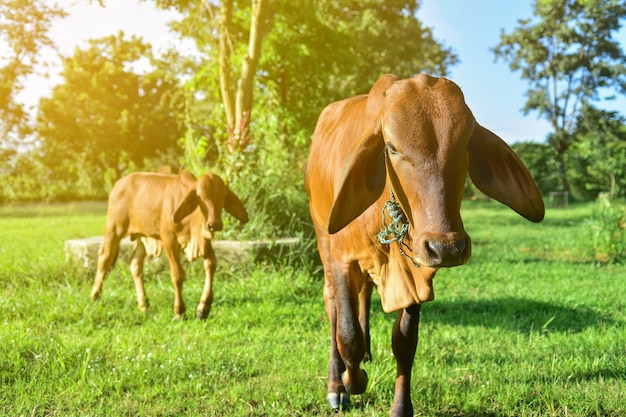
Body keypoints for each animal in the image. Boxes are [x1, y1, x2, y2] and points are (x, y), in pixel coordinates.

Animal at [90, 169, 246, 318]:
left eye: (223, 196)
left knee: (135, 262)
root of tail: (120, 183)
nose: (214, 225)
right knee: (105, 257)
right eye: (199, 196)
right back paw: (95, 296)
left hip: (143, 236)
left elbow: (211, 265)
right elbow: (177, 274)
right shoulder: (168, 238)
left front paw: (203, 308)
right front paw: (180, 311)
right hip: (113, 229)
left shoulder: (203, 241)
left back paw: (144, 306)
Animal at [302, 75, 540, 416]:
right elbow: (347, 335)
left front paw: (400, 407)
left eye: (466, 144)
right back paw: (338, 381)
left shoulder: (414, 272)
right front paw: (351, 381)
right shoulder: (341, 260)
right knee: (333, 304)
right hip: (323, 237)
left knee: (364, 295)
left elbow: (404, 342)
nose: (447, 248)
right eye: (391, 147)